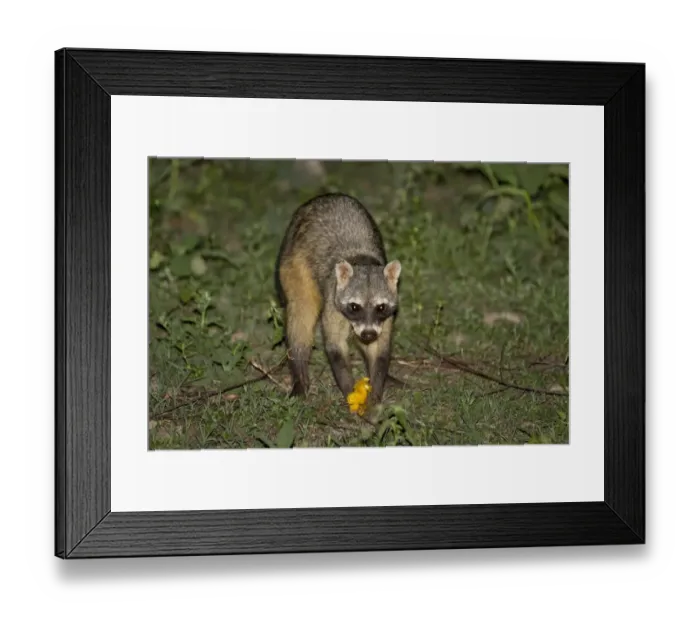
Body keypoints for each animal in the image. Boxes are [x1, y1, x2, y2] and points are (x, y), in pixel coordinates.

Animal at [274, 193, 401, 405]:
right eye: (355, 307)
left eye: (381, 307)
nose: (368, 334)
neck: (363, 261)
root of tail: (323, 196)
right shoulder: (333, 302)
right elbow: (335, 347)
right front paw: (351, 391)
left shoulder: (385, 317)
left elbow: (379, 349)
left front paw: (375, 389)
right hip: (293, 265)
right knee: (301, 316)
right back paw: (299, 371)